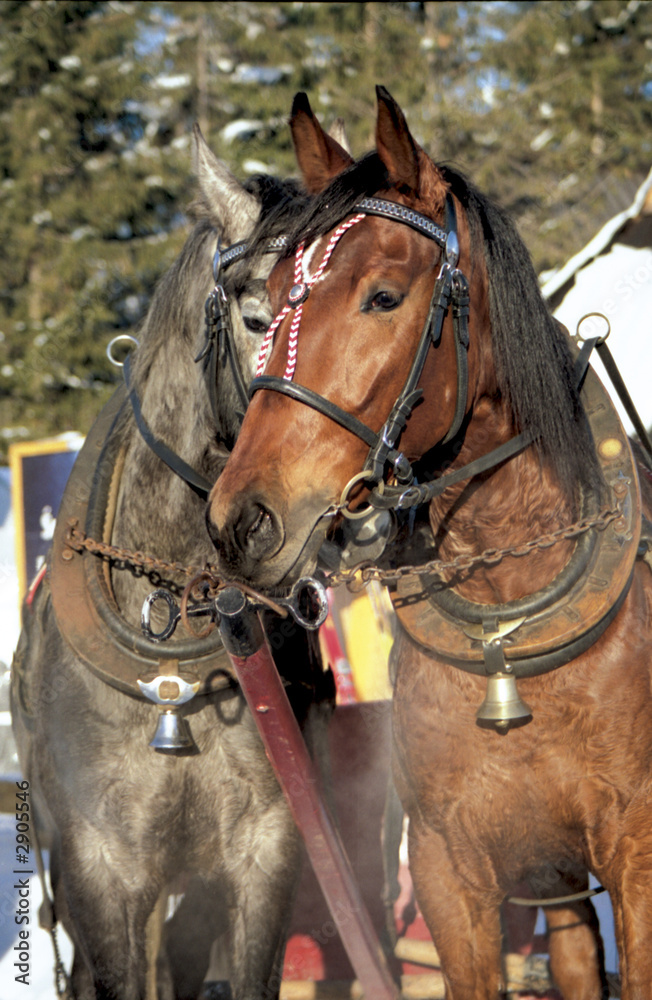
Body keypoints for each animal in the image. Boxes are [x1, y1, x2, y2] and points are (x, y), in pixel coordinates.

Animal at [206, 87, 652, 999]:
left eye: (383, 295)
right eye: (276, 296)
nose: (244, 516)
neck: (509, 619)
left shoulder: (640, 858)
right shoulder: (451, 872)